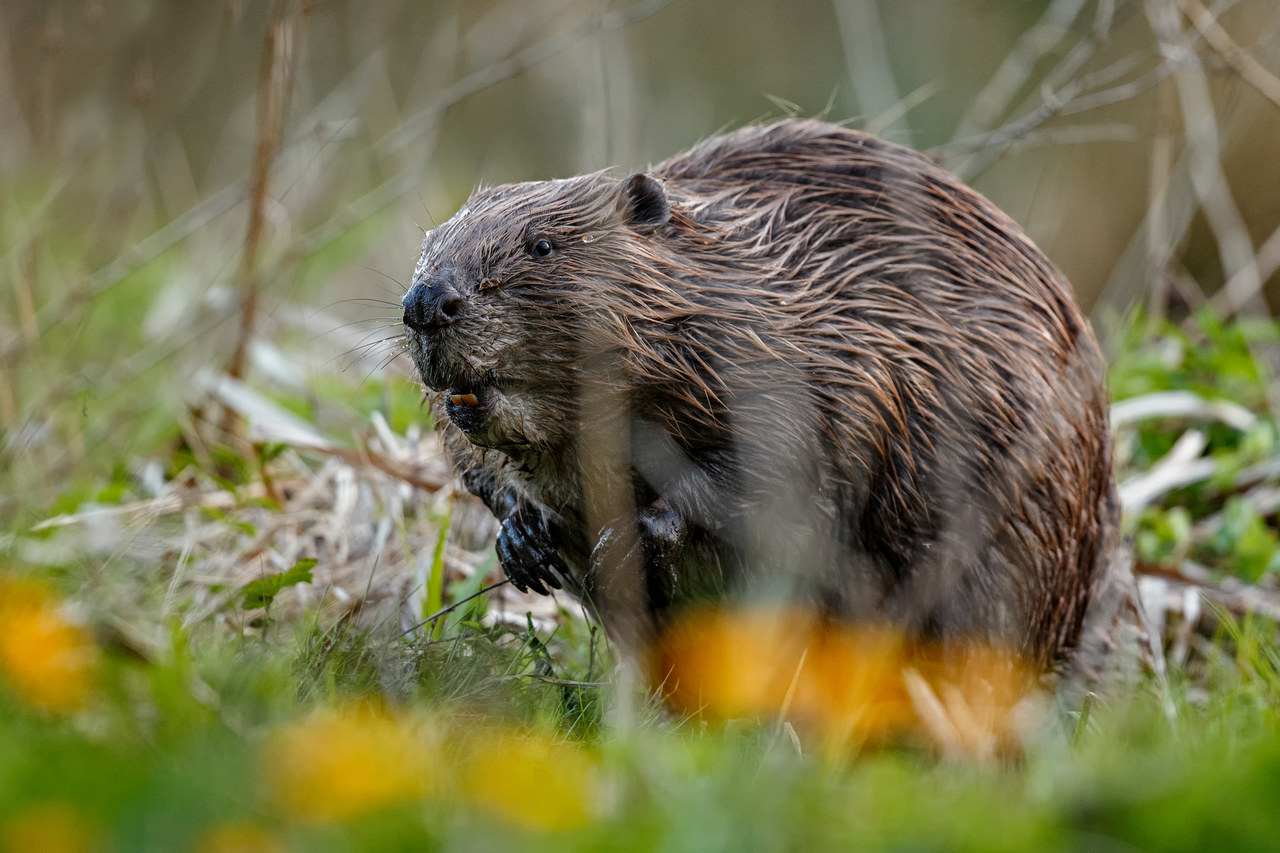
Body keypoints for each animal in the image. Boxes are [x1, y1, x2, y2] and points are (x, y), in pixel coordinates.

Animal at [401, 117, 1121, 671]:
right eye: (428, 249)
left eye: (543, 244)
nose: (426, 302)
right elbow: (480, 466)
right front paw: (524, 540)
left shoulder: (827, 353)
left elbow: (783, 460)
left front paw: (630, 536)